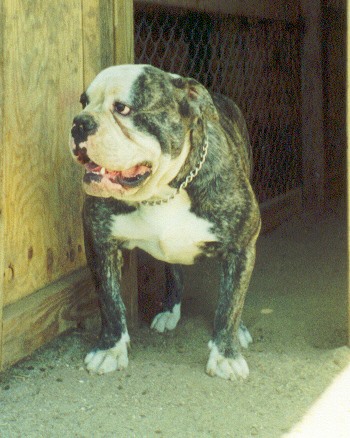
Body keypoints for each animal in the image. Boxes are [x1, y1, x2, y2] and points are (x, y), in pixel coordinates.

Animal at [69, 64, 262, 380]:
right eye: (83, 103)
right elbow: (109, 301)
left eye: (123, 108)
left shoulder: (241, 248)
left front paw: (226, 354)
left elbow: (231, 303)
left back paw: (240, 330)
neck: (162, 192)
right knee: (174, 271)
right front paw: (110, 348)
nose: (79, 123)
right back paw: (170, 310)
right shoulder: (100, 243)